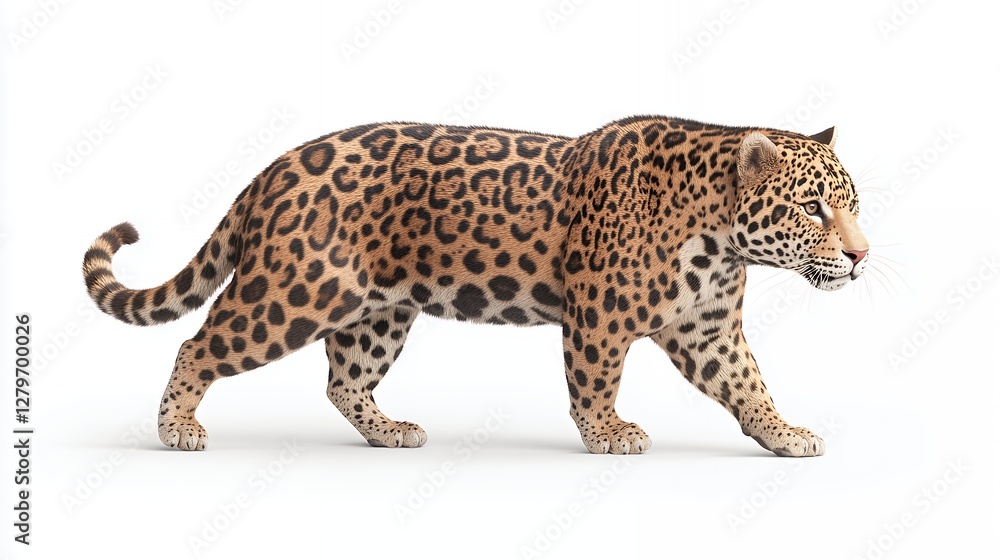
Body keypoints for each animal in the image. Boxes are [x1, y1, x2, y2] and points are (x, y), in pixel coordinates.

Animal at [82, 116, 869, 456]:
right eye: (813, 208)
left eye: (852, 203)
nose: (862, 256)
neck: (719, 239)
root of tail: (272, 168)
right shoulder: (599, 316)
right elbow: (595, 382)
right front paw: (609, 435)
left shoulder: (707, 329)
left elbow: (749, 385)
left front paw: (786, 435)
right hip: (295, 291)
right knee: (199, 343)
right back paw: (176, 429)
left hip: (380, 310)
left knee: (343, 380)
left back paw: (391, 432)